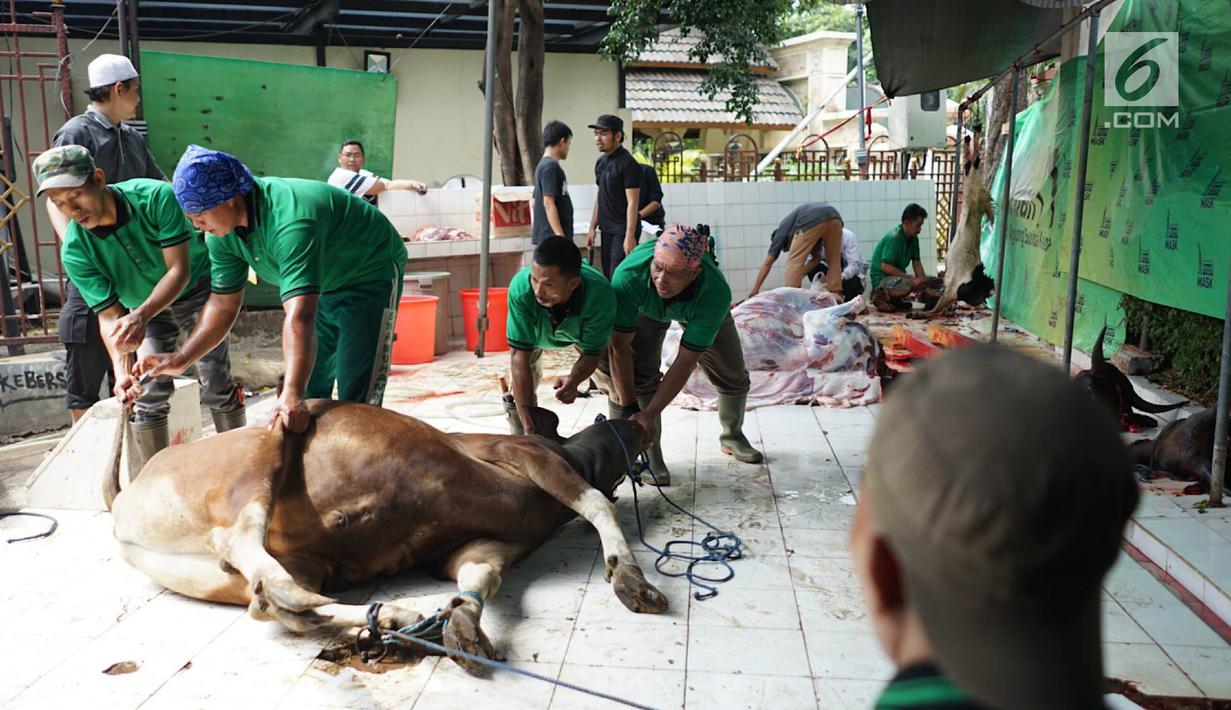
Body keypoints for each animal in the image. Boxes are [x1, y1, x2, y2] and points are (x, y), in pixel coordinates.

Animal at [112, 401, 664, 669]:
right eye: (613, 421)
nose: (642, 418)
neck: (573, 455)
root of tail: (123, 502)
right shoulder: (518, 453)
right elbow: (595, 503)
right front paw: (632, 578)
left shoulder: (481, 545)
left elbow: (479, 580)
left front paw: (462, 625)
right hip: (257, 457)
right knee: (249, 550)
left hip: (238, 572)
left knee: (269, 602)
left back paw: (395, 618)